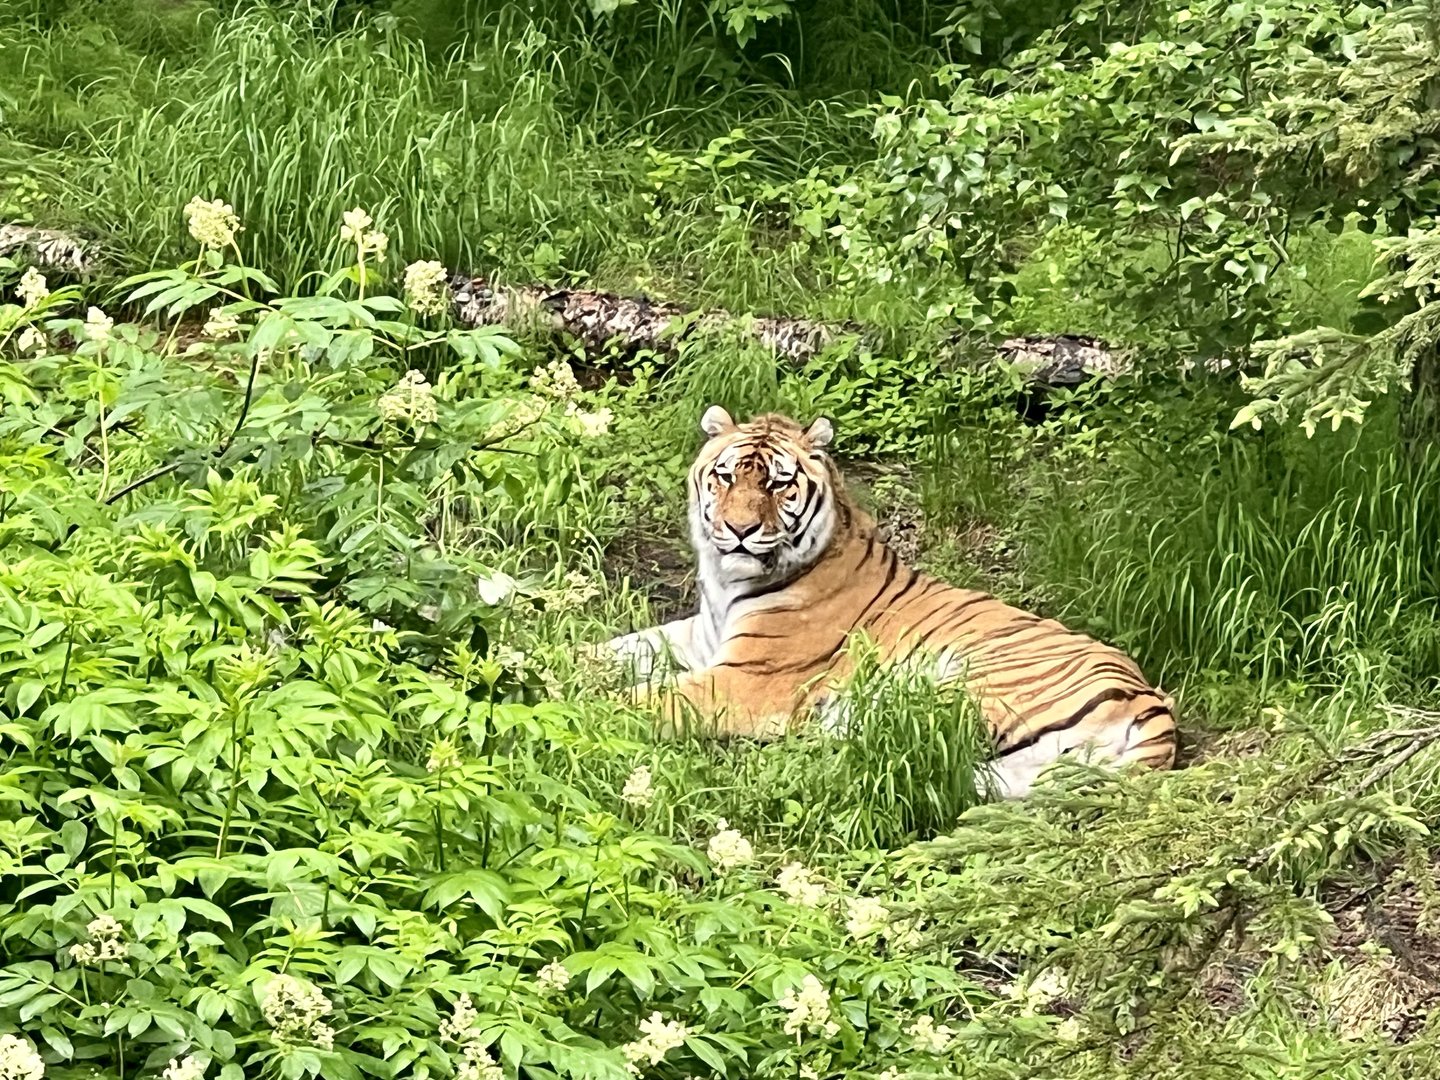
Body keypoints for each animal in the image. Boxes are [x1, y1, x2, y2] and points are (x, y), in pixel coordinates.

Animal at [601, 405, 1178, 799]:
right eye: (725, 476)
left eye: (779, 484)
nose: (738, 530)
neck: (727, 584)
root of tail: (1149, 700)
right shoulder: (698, 638)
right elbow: (612, 650)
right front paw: (578, 667)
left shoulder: (744, 678)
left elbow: (645, 699)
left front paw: (584, 705)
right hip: (1017, 771)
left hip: (960, 685)